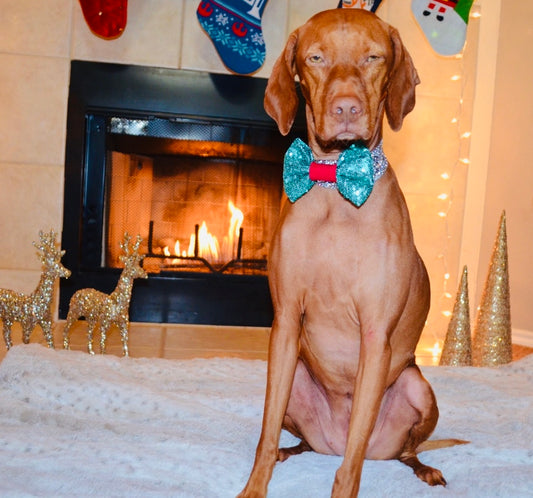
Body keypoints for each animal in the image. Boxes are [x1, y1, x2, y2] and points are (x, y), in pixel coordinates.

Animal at [238, 7, 444, 498]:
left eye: (373, 57)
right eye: (316, 57)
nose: (346, 108)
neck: (335, 186)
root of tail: (328, 442)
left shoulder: (375, 336)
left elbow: (350, 468)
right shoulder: (285, 323)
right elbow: (265, 431)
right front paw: (255, 485)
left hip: (416, 387)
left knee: (399, 451)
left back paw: (423, 468)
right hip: (294, 375)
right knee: (299, 439)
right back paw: (290, 450)